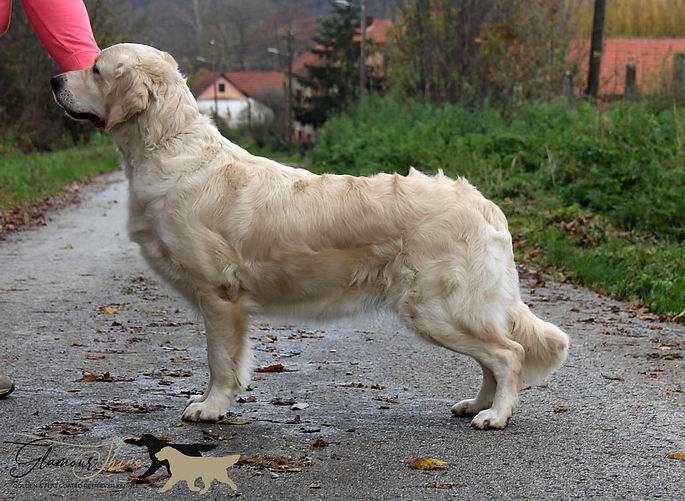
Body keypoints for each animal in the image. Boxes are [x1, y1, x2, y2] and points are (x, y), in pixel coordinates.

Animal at [50, 43, 568, 428]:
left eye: (95, 69)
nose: (54, 81)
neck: (168, 145)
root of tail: (485, 204)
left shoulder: (219, 294)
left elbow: (220, 359)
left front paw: (211, 407)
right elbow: (233, 359)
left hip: (435, 306)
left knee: (509, 353)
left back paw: (496, 416)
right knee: (492, 357)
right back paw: (477, 404)